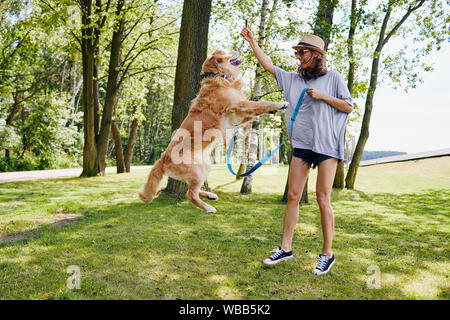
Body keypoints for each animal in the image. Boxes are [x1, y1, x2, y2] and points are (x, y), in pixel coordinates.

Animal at [137, 50, 288, 212]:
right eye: (228, 52)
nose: (236, 50)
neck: (218, 75)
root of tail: (163, 159)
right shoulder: (240, 105)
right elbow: (261, 103)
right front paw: (279, 104)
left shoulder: (237, 115)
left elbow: (258, 110)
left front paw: (273, 112)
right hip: (197, 170)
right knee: (190, 194)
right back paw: (208, 207)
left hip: (205, 167)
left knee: (192, 190)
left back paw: (210, 195)